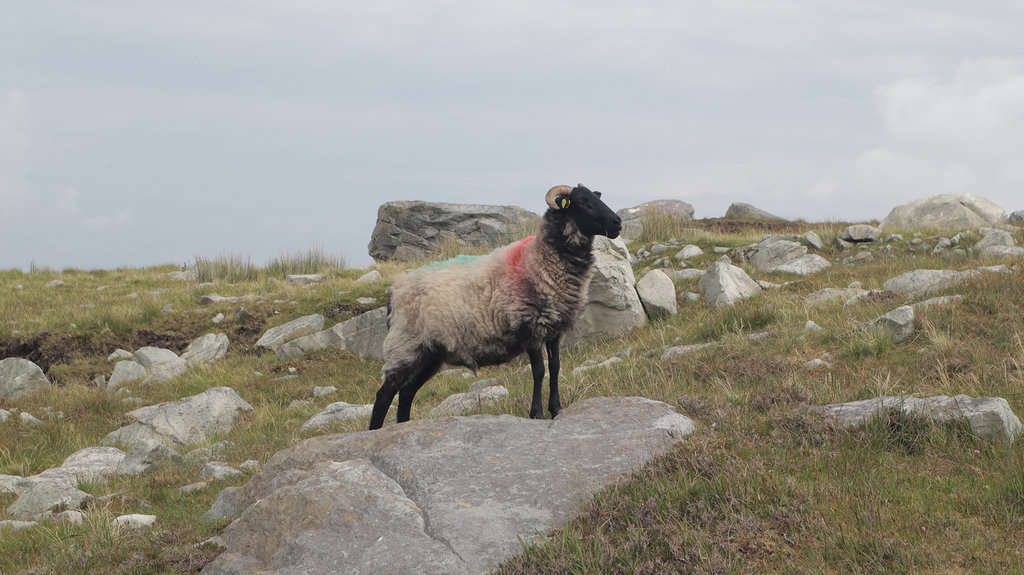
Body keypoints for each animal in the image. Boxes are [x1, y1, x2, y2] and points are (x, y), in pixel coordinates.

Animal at [370, 184, 622, 429]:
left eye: (597, 197)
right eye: (583, 202)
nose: (617, 223)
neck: (539, 261)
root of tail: (395, 292)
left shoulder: (554, 330)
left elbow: (556, 368)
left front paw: (557, 409)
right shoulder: (530, 328)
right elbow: (539, 371)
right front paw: (537, 413)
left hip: (429, 354)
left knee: (406, 393)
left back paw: (403, 427)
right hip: (405, 346)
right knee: (385, 394)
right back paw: (376, 430)